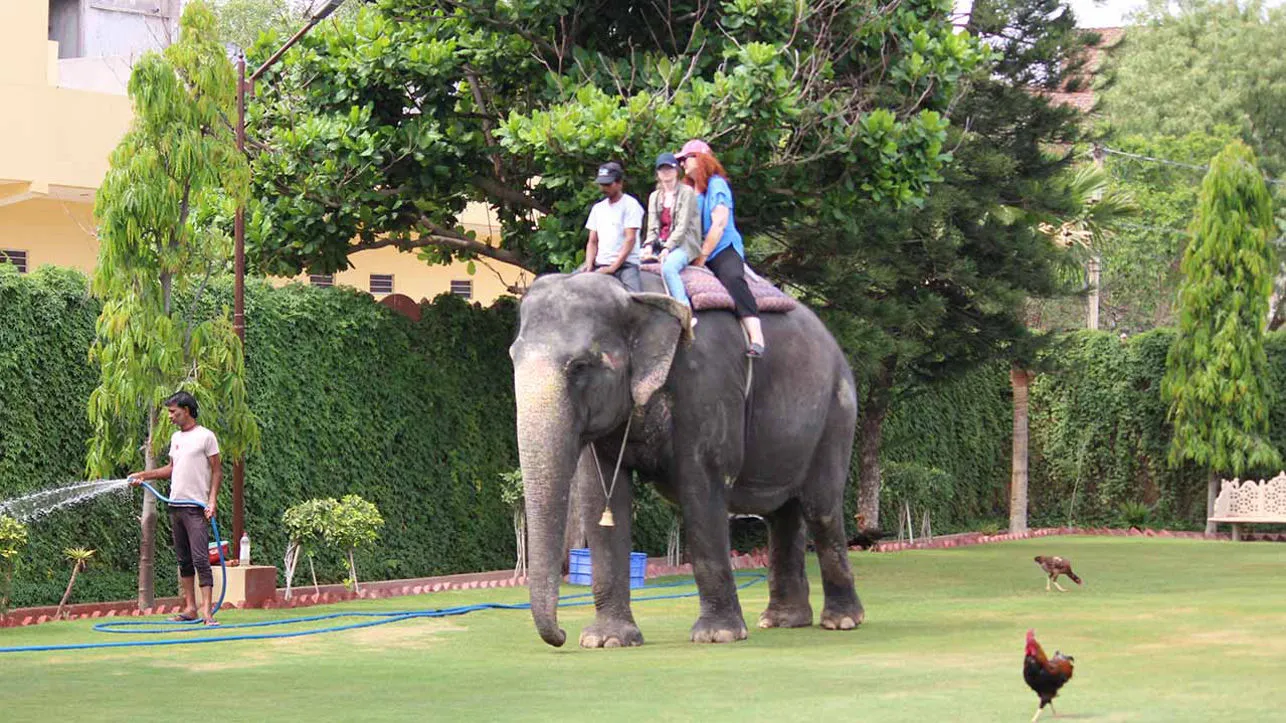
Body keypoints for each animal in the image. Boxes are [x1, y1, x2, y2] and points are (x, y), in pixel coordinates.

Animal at [511, 271, 864, 648]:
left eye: (579, 366)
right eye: (512, 358)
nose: (561, 635)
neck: (633, 295)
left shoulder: (707, 384)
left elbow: (702, 485)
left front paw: (717, 635)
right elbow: (599, 497)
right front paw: (607, 641)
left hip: (837, 411)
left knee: (821, 506)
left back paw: (841, 621)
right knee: (783, 513)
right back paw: (783, 621)